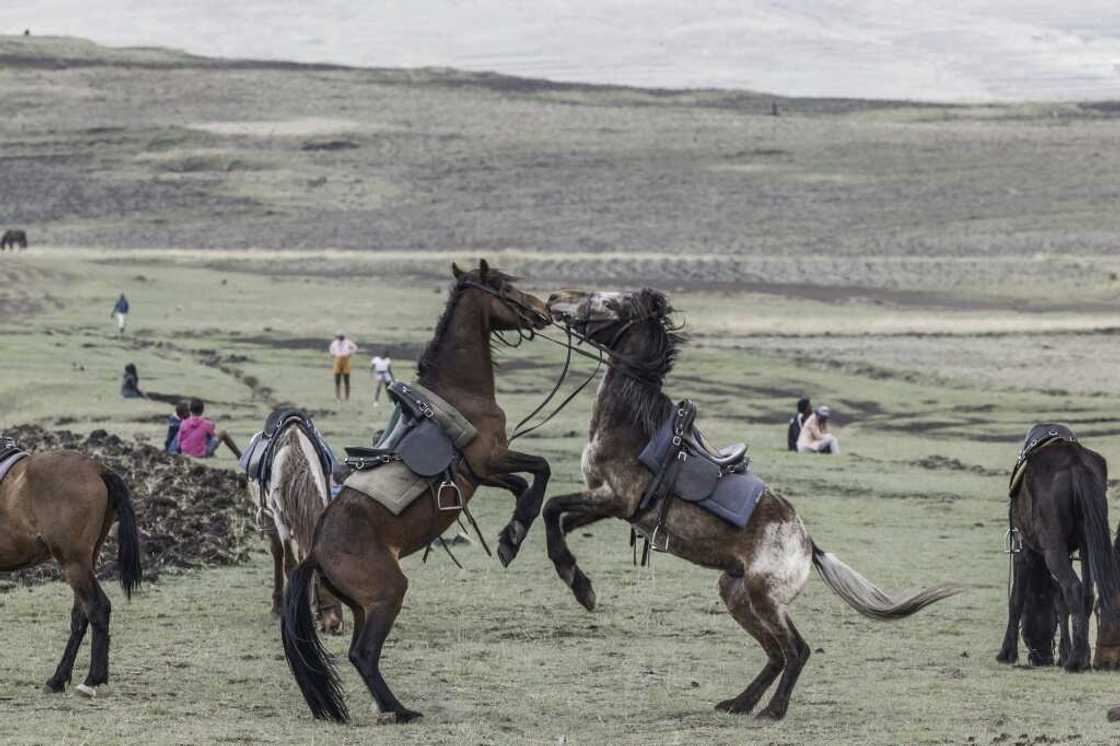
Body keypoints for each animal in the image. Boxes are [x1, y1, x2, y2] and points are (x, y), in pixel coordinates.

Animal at [0, 449, 142, 696]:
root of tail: (96, 467)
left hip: (73, 562)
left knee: (97, 607)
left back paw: (92, 680)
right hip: (84, 562)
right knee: (81, 615)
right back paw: (58, 679)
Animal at [249, 416, 343, 634]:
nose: (334, 625)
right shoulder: (280, 519)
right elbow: (290, 564)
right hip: (269, 518)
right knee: (277, 553)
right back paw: (277, 606)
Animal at [281, 259, 552, 723]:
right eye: (503, 287)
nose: (543, 311)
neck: (459, 392)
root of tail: (315, 551)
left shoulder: (481, 473)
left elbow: (524, 482)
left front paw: (509, 537)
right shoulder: (489, 461)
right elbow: (540, 471)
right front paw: (513, 536)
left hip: (362, 606)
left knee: (360, 652)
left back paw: (386, 707)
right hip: (387, 594)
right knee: (364, 653)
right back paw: (399, 710)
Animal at [542, 288, 960, 720]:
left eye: (607, 301)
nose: (555, 297)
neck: (634, 426)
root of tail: (808, 546)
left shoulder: (617, 499)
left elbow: (551, 507)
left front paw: (581, 589)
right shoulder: (604, 501)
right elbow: (558, 519)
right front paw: (577, 580)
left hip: (764, 597)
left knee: (796, 650)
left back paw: (772, 710)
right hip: (735, 592)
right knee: (775, 654)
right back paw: (739, 703)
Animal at [996, 439, 1120, 671]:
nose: (1042, 658)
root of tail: (1075, 462)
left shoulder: (1023, 549)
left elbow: (1016, 597)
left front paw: (1006, 653)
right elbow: (1061, 602)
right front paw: (1065, 652)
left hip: (1052, 547)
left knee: (1073, 587)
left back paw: (1076, 661)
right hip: (1087, 541)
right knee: (1086, 593)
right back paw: (1080, 657)